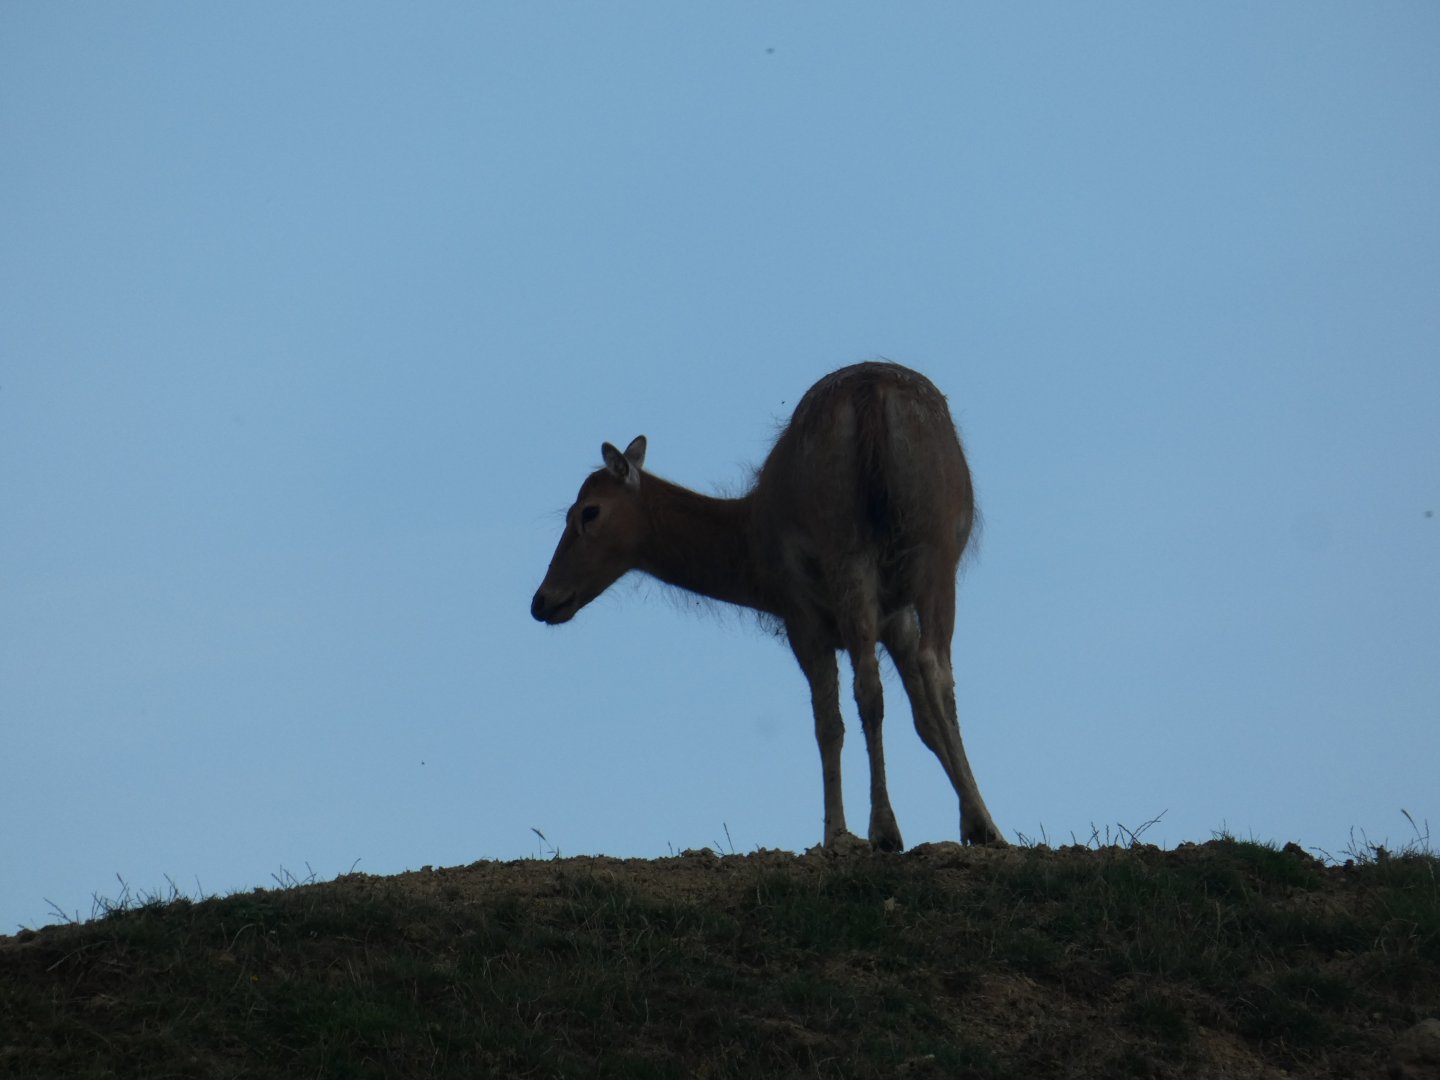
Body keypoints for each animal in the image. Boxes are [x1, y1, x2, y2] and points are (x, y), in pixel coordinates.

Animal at [530, 361, 1005, 850]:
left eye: (587, 511)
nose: (541, 600)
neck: (754, 561)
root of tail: (870, 393)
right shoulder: (895, 615)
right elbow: (923, 718)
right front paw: (977, 820)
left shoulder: (800, 614)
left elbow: (827, 724)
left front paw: (836, 834)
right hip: (935, 540)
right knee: (935, 666)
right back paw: (982, 826)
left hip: (845, 544)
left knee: (868, 684)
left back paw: (884, 829)